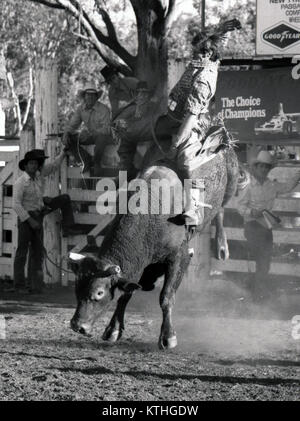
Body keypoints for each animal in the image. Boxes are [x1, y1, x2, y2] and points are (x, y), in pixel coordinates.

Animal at [69, 134, 240, 348]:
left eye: (99, 293)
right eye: (77, 287)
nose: (77, 325)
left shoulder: (178, 257)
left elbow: (166, 296)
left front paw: (168, 337)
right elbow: (126, 293)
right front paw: (113, 329)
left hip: (231, 181)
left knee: (221, 210)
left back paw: (222, 246)